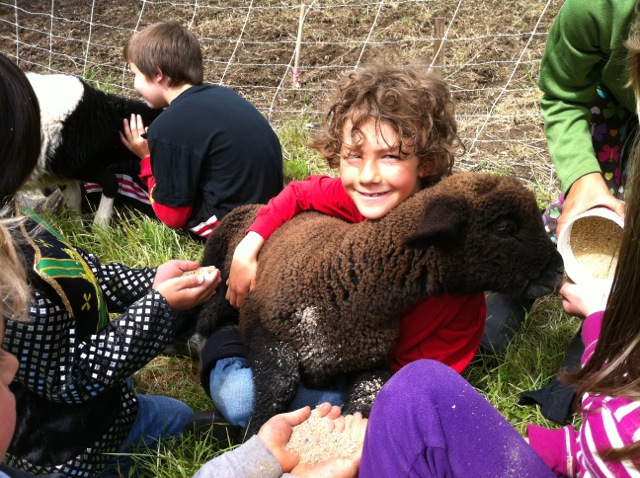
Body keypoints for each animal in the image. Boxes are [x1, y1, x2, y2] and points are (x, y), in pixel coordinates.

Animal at [22, 72, 162, 225]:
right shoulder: (76, 165)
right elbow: (111, 181)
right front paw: (100, 224)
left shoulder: (62, 172)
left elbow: (74, 199)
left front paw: (77, 226)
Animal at [194, 172, 564, 433]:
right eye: (504, 226)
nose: (559, 268)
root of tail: (254, 206)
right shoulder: (264, 325)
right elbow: (280, 385)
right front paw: (258, 434)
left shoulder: (373, 361)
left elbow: (369, 398)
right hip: (219, 269)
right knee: (211, 303)